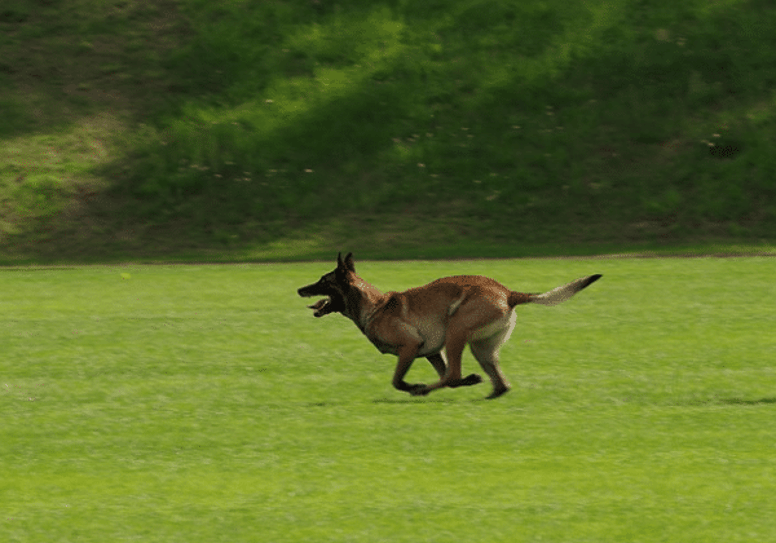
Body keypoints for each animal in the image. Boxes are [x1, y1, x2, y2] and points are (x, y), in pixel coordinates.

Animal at [298, 254, 600, 400]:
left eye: (323, 280)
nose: (300, 289)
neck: (376, 306)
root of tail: (508, 293)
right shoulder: (432, 352)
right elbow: (442, 374)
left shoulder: (410, 347)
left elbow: (397, 381)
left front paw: (414, 386)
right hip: (480, 346)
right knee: (491, 381)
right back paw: (487, 389)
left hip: (456, 331)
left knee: (454, 374)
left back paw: (426, 389)